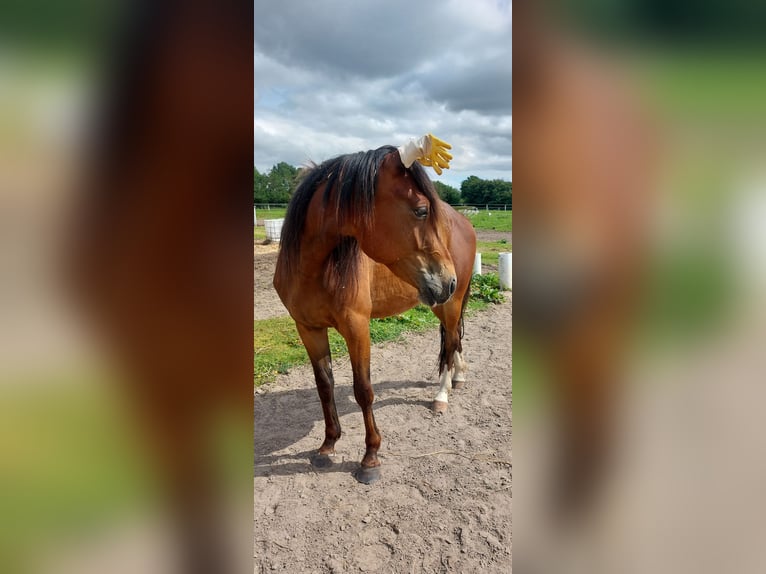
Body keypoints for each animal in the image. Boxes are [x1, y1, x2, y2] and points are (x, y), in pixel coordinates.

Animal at [272, 142, 476, 484]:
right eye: (421, 211)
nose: (448, 279)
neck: (313, 269)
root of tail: (465, 224)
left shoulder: (357, 328)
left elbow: (363, 390)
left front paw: (370, 458)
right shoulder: (307, 328)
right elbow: (324, 386)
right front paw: (328, 445)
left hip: (450, 302)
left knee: (449, 344)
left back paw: (442, 396)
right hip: (441, 302)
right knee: (454, 339)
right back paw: (459, 378)